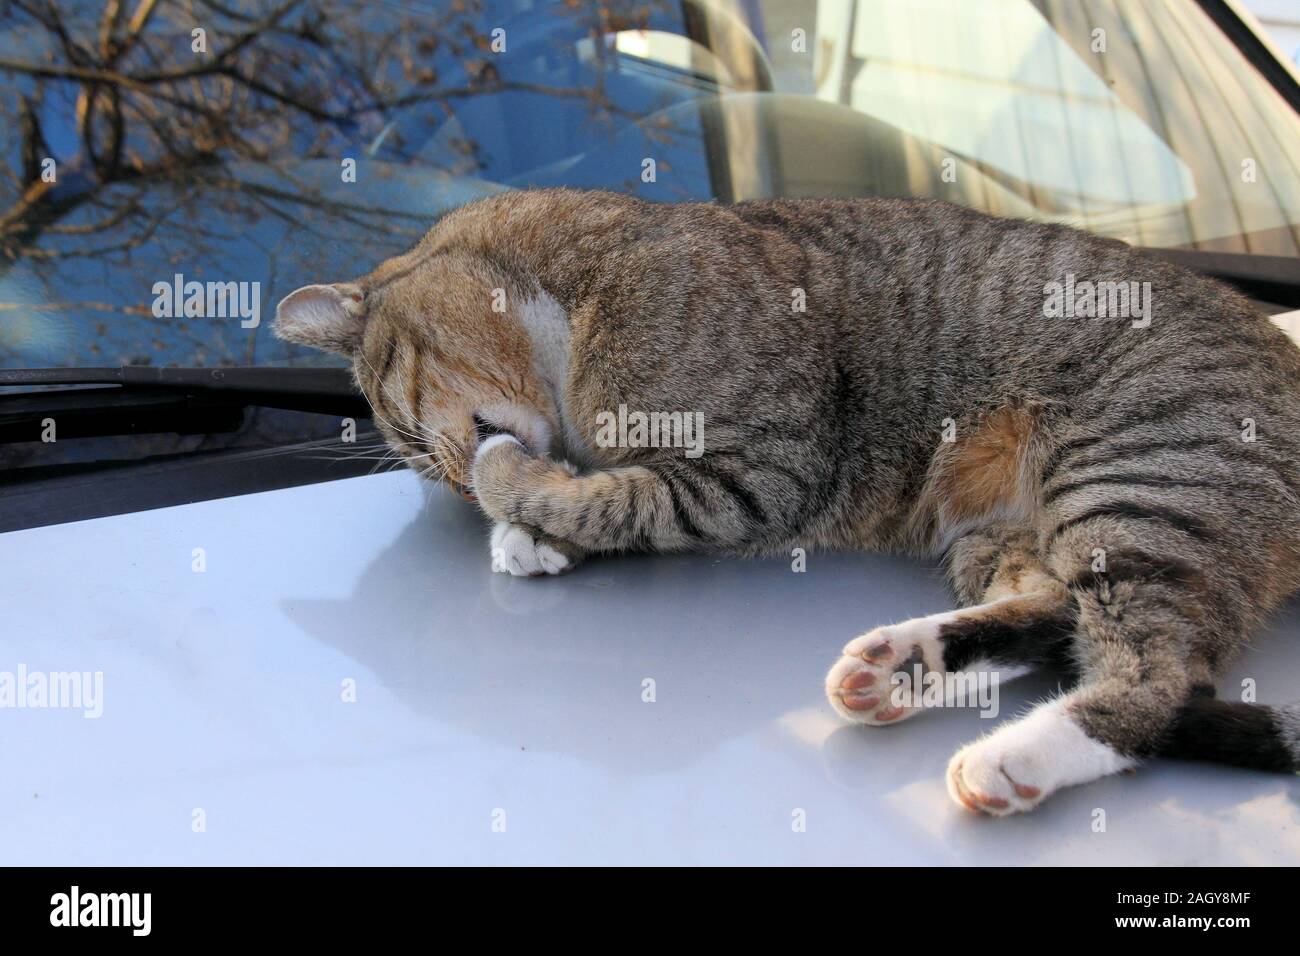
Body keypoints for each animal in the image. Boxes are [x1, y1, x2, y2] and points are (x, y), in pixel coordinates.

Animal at [274, 188, 1300, 816]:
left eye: (413, 437)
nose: (448, 481)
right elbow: (602, 492)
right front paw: (530, 532)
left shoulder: (759, 472)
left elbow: (620, 497)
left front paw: (509, 496)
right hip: (1007, 533)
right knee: (1053, 617)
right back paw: (902, 666)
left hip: (1140, 479)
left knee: (1158, 677)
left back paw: (1016, 757)